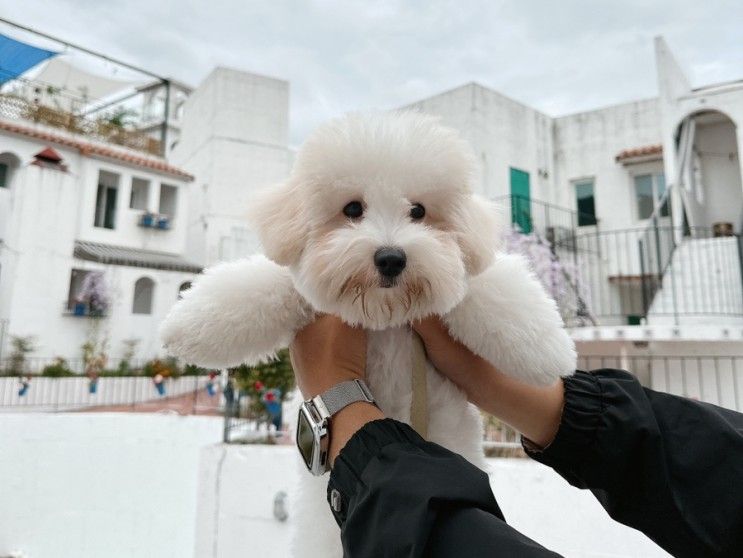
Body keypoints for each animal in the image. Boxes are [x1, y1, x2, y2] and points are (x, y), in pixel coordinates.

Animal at [161, 111, 576, 556]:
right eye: (352, 208)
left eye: (419, 211)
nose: (391, 257)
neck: (384, 319)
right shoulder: (303, 291)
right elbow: (265, 284)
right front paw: (189, 322)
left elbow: (488, 286)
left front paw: (548, 346)